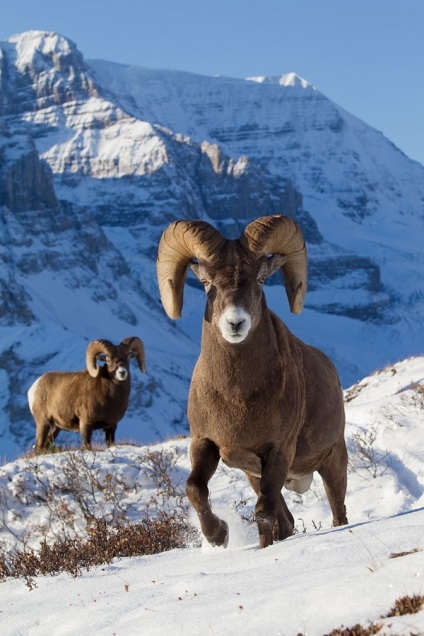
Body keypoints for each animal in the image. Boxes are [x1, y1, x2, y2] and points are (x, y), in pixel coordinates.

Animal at [157, 216, 350, 548]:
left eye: (260, 279)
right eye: (206, 283)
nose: (235, 323)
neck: (237, 398)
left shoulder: (278, 452)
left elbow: (263, 512)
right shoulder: (205, 444)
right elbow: (195, 489)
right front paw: (218, 536)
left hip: (332, 462)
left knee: (338, 513)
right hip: (254, 475)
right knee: (286, 521)